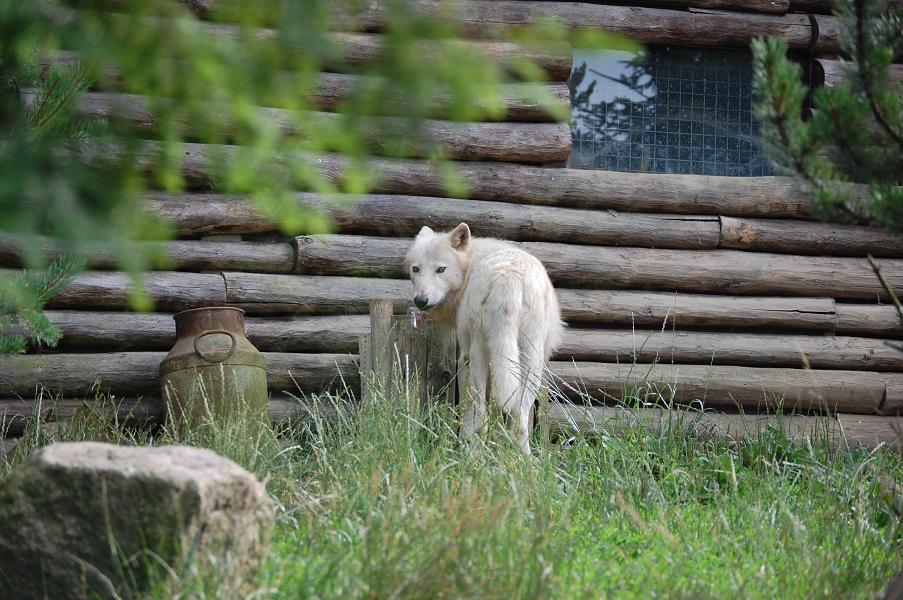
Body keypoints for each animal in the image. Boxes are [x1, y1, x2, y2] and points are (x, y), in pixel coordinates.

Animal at [404, 223, 564, 453]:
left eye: (441, 269)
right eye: (416, 269)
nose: (420, 300)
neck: (470, 266)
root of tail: (511, 276)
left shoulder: (463, 358)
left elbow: (468, 411)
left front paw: (463, 440)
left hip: (478, 355)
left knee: (481, 415)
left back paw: (473, 455)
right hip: (532, 362)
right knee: (519, 417)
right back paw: (521, 460)